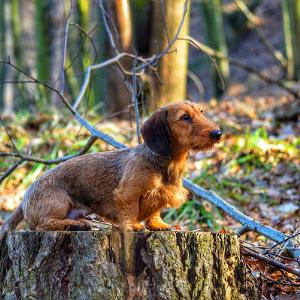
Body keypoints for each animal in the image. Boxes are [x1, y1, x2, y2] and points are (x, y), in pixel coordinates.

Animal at [0, 101, 220, 239]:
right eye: (185, 117)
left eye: (201, 112)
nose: (218, 133)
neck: (165, 163)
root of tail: (23, 199)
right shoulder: (128, 193)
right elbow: (131, 211)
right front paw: (134, 226)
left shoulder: (160, 196)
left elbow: (155, 212)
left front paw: (158, 225)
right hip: (58, 202)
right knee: (42, 225)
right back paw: (76, 225)